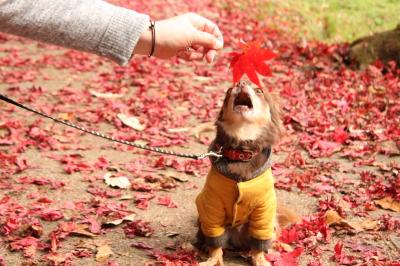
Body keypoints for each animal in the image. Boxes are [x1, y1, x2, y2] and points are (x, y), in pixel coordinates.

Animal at [195, 79, 296, 266]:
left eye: (259, 91)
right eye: (229, 91)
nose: (240, 82)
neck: (241, 151)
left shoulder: (264, 209)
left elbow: (259, 244)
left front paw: (260, 259)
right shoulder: (212, 208)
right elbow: (215, 243)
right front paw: (213, 259)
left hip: (270, 223)